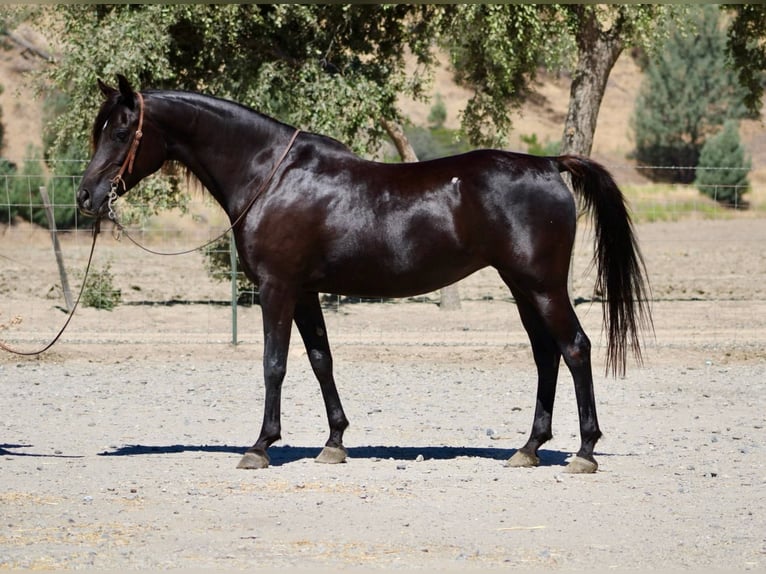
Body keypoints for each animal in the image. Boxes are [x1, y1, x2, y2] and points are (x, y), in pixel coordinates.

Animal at [77, 75, 651, 473]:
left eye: (123, 130)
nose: (86, 197)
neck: (271, 174)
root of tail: (550, 164)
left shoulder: (277, 288)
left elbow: (273, 364)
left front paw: (260, 446)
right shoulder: (305, 292)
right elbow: (320, 360)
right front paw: (334, 443)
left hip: (542, 286)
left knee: (574, 349)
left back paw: (584, 452)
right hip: (522, 287)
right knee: (546, 355)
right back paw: (528, 448)